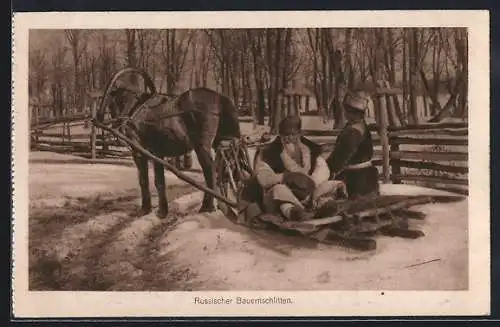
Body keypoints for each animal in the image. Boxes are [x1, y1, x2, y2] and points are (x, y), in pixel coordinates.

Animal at [96, 68, 241, 219]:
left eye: (107, 97)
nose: (99, 118)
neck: (135, 109)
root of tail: (219, 98)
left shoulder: (141, 153)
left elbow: (148, 181)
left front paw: (151, 210)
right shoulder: (158, 154)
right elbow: (158, 181)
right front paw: (160, 210)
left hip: (201, 147)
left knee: (210, 171)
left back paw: (207, 207)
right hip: (221, 142)